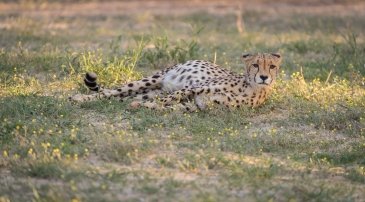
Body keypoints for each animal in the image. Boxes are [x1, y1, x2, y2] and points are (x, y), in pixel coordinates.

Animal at [70, 52, 282, 111]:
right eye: (255, 65)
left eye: (272, 66)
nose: (264, 77)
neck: (252, 88)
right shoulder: (193, 88)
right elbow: (169, 100)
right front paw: (150, 106)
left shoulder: (200, 105)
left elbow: (173, 107)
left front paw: (149, 107)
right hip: (151, 80)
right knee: (109, 92)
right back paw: (79, 98)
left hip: (151, 90)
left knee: (123, 97)